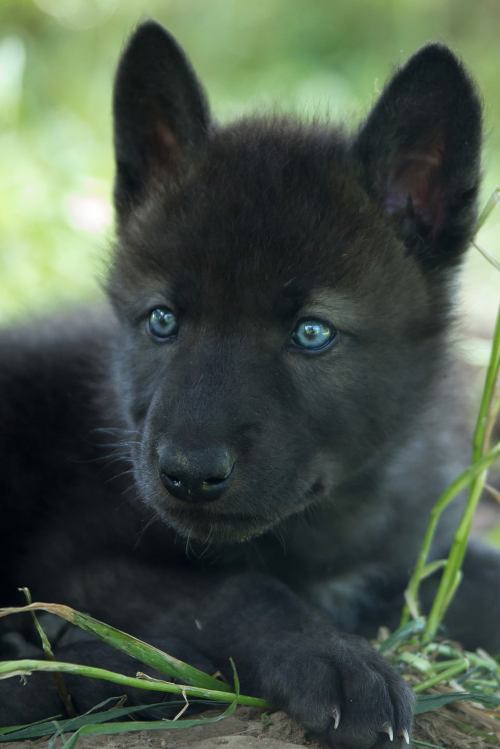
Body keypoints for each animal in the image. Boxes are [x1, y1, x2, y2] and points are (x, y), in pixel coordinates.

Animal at [0, 20, 498, 749]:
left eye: (312, 333)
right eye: (162, 320)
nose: (189, 473)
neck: (328, 529)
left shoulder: (410, 558)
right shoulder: (80, 564)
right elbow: (241, 590)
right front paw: (334, 657)